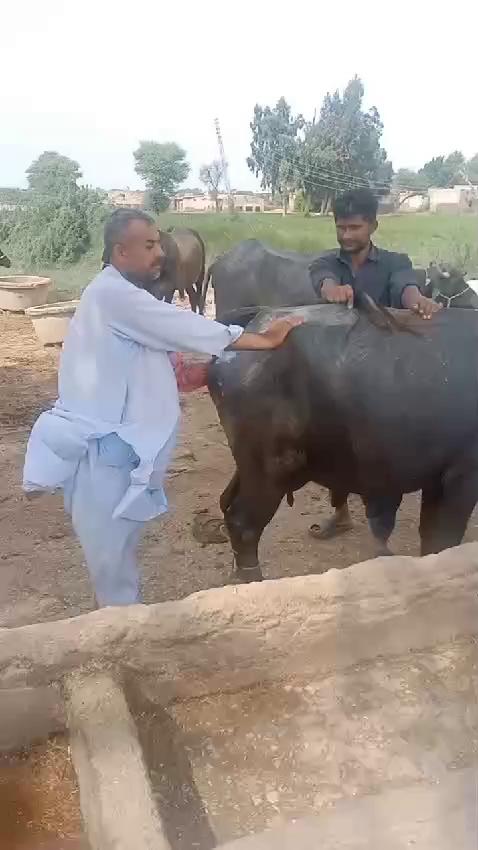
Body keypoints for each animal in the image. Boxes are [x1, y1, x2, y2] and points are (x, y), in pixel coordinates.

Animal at [209, 300, 478, 584]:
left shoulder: (437, 479)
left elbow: (431, 540)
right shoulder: (463, 477)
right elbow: (444, 540)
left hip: (253, 467)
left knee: (227, 503)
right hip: (271, 470)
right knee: (243, 523)